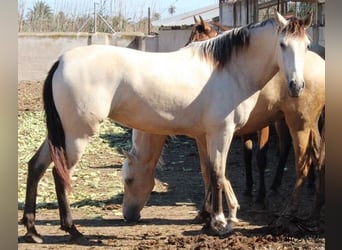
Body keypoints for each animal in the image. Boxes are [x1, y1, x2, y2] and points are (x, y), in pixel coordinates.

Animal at [21, 9, 310, 242]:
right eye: (282, 44)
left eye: (306, 46)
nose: (296, 85)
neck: (228, 69)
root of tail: (61, 61)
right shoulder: (221, 133)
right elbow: (217, 174)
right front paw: (220, 223)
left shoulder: (205, 135)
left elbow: (211, 174)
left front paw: (212, 220)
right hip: (76, 136)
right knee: (59, 174)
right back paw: (71, 229)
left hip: (61, 134)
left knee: (36, 166)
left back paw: (33, 230)